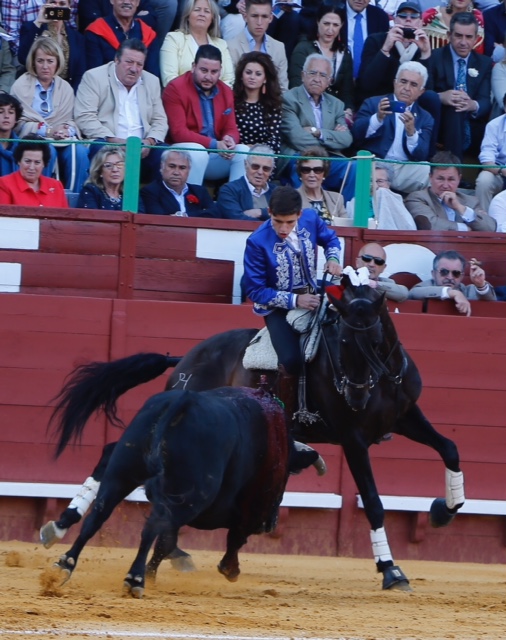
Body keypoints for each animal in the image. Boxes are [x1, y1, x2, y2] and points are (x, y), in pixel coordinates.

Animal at [52, 386, 290, 597]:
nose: (272, 522)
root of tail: (182, 400)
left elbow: (167, 541)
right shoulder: (249, 509)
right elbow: (234, 536)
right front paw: (229, 568)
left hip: (120, 474)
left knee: (97, 516)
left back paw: (65, 564)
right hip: (187, 498)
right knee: (150, 528)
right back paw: (135, 579)